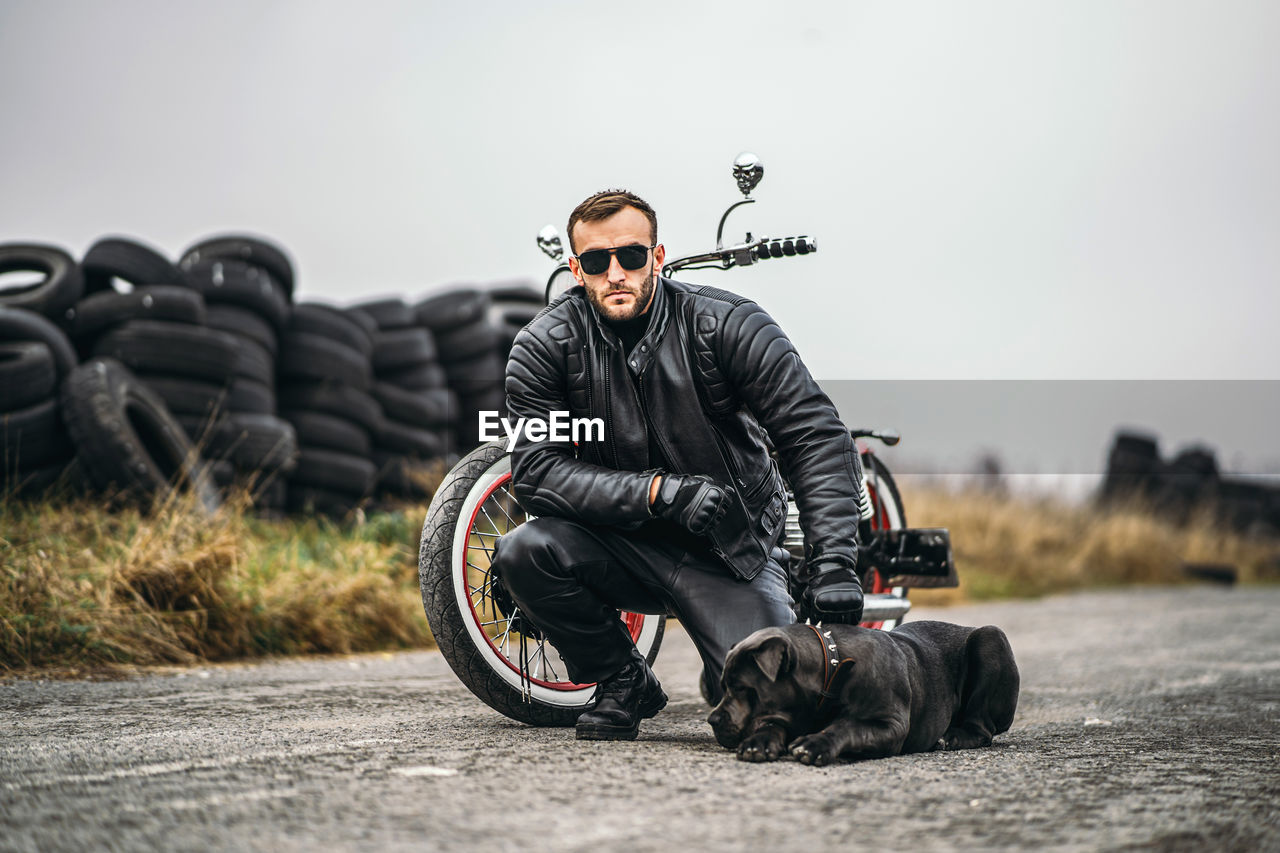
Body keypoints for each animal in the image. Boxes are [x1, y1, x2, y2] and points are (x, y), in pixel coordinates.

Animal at [706, 614, 1013, 758]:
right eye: (723, 685)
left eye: (742, 688)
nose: (712, 719)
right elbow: (772, 725)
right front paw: (759, 741)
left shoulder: (889, 725)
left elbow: (849, 726)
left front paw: (816, 743)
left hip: (990, 639)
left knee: (982, 727)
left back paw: (954, 737)